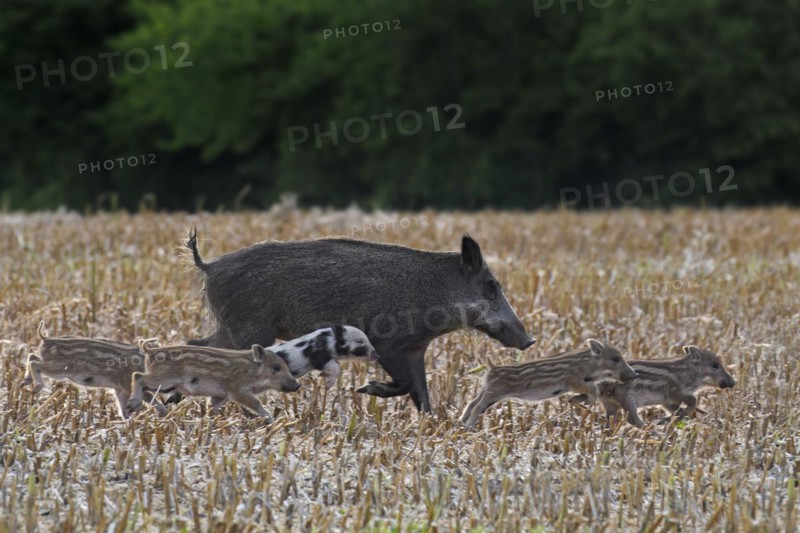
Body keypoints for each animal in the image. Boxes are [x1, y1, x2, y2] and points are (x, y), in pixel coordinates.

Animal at [21, 322, 167, 419]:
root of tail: (45, 338)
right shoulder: (127, 384)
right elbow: (150, 399)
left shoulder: (120, 388)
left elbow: (126, 407)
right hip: (57, 369)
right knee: (34, 362)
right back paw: (35, 387)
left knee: (32, 356)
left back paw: (26, 381)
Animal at [127, 342, 301, 421]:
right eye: (276, 367)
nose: (298, 385)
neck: (252, 371)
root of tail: (150, 351)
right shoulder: (238, 390)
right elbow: (256, 403)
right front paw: (271, 420)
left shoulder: (221, 395)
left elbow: (213, 406)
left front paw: (210, 419)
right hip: (163, 379)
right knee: (137, 376)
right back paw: (132, 405)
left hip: (166, 385)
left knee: (146, 390)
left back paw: (158, 411)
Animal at [184, 228, 535, 412]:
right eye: (490, 285)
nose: (529, 340)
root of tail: (209, 267)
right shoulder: (389, 343)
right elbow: (407, 384)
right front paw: (366, 390)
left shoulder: (415, 349)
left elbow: (421, 392)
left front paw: (432, 423)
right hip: (250, 328)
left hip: (230, 328)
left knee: (197, 344)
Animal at [460, 339, 638, 428]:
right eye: (615, 359)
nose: (635, 375)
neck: (589, 364)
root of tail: (492, 368)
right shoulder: (573, 381)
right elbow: (593, 390)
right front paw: (585, 402)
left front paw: (579, 402)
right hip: (494, 392)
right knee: (477, 406)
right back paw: (469, 427)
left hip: (487, 390)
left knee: (472, 403)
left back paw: (461, 422)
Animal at [574, 345, 736, 427]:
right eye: (715, 365)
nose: (733, 382)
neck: (689, 373)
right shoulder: (676, 392)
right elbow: (692, 401)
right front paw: (663, 421)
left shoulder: (667, 401)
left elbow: (678, 410)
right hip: (626, 397)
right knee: (632, 419)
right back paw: (650, 430)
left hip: (611, 402)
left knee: (611, 419)